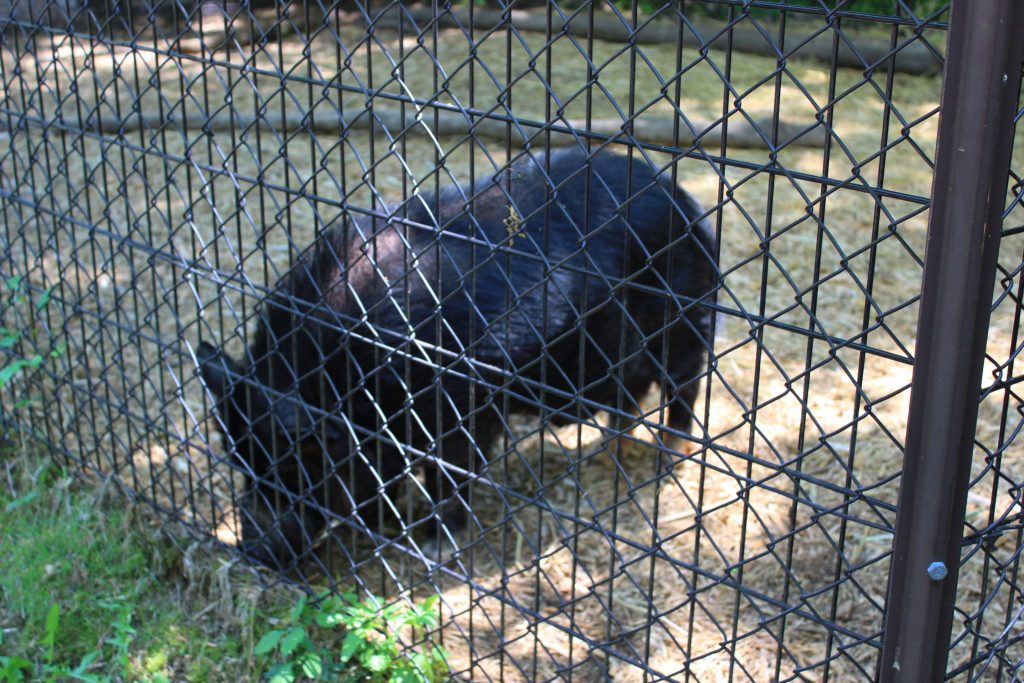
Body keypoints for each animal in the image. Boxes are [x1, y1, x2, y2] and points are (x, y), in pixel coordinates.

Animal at [195, 147, 716, 569]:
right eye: (240, 463)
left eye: (296, 466)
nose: (251, 552)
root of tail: (687, 204)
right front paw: (383, 519)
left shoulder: (465, 405)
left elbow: (450, 474)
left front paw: (435, 548)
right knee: (629, 397)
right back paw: (609, 455)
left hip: (686, 325)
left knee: (683, 391)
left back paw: (668, 461)